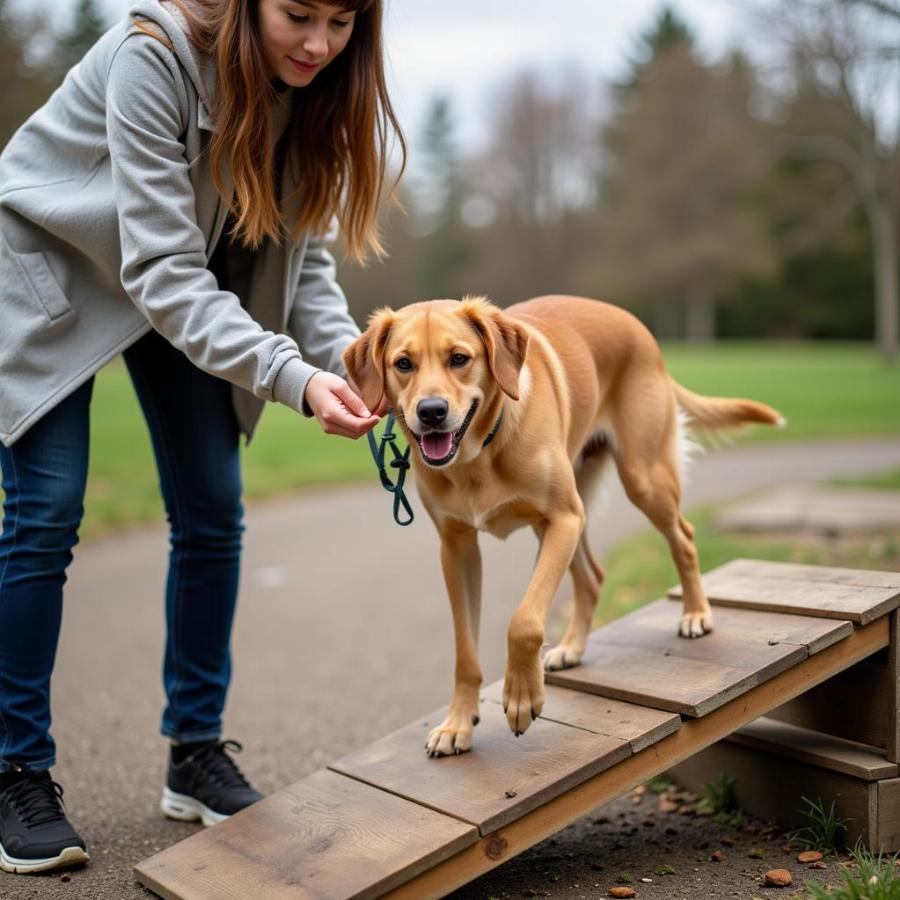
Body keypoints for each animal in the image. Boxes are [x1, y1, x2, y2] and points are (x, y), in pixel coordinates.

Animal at [342, 294, 780, 752]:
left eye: (459, 358)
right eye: (403, 364)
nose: (431, 412)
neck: (478, 457)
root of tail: (636, 325)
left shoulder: (562, 519)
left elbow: (525, 621)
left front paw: (520, 697)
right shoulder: (458, 547)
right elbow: (465, 650)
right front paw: (458, 722)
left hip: (640, 481)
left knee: (685, 537)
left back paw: (695, 614)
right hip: (570, 511)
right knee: (592, 577)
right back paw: (572, 647)